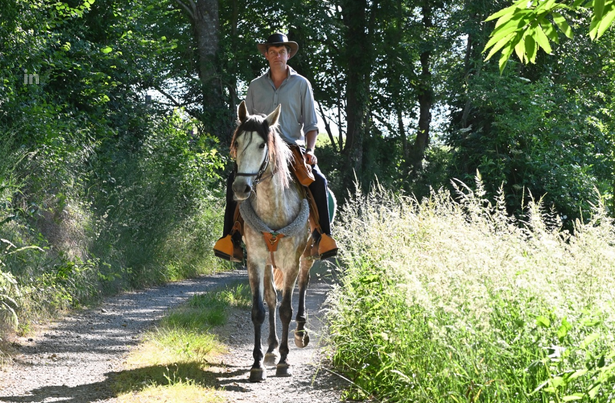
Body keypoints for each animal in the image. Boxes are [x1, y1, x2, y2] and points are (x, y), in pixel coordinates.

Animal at [230, 102, 312, 384]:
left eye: (261, 145)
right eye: (237, 142)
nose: (241, 188)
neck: (274, 210)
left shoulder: (291, 261)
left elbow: (286, 309)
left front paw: (285, 362)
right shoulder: (256, 261)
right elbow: (260, 309)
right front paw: (257, 363)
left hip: (307, 256)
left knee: (303, 285)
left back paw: (300, 331)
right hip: (268, 264)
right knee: (271, 298)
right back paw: (271, 350)